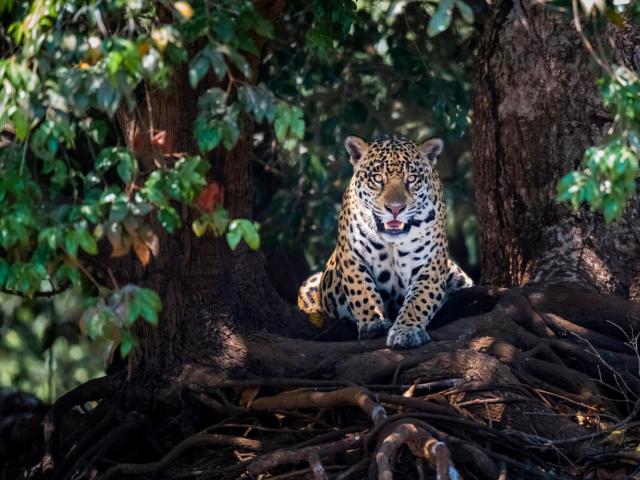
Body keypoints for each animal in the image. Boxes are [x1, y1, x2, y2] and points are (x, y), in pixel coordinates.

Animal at [298, 133, 473, 349]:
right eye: (378, 178)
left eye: (411, 179)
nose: (395, 208)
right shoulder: (351, 256)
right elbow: (362, 290)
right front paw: (374, 323)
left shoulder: (431, 265)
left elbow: (418, 300)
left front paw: (406, 330)